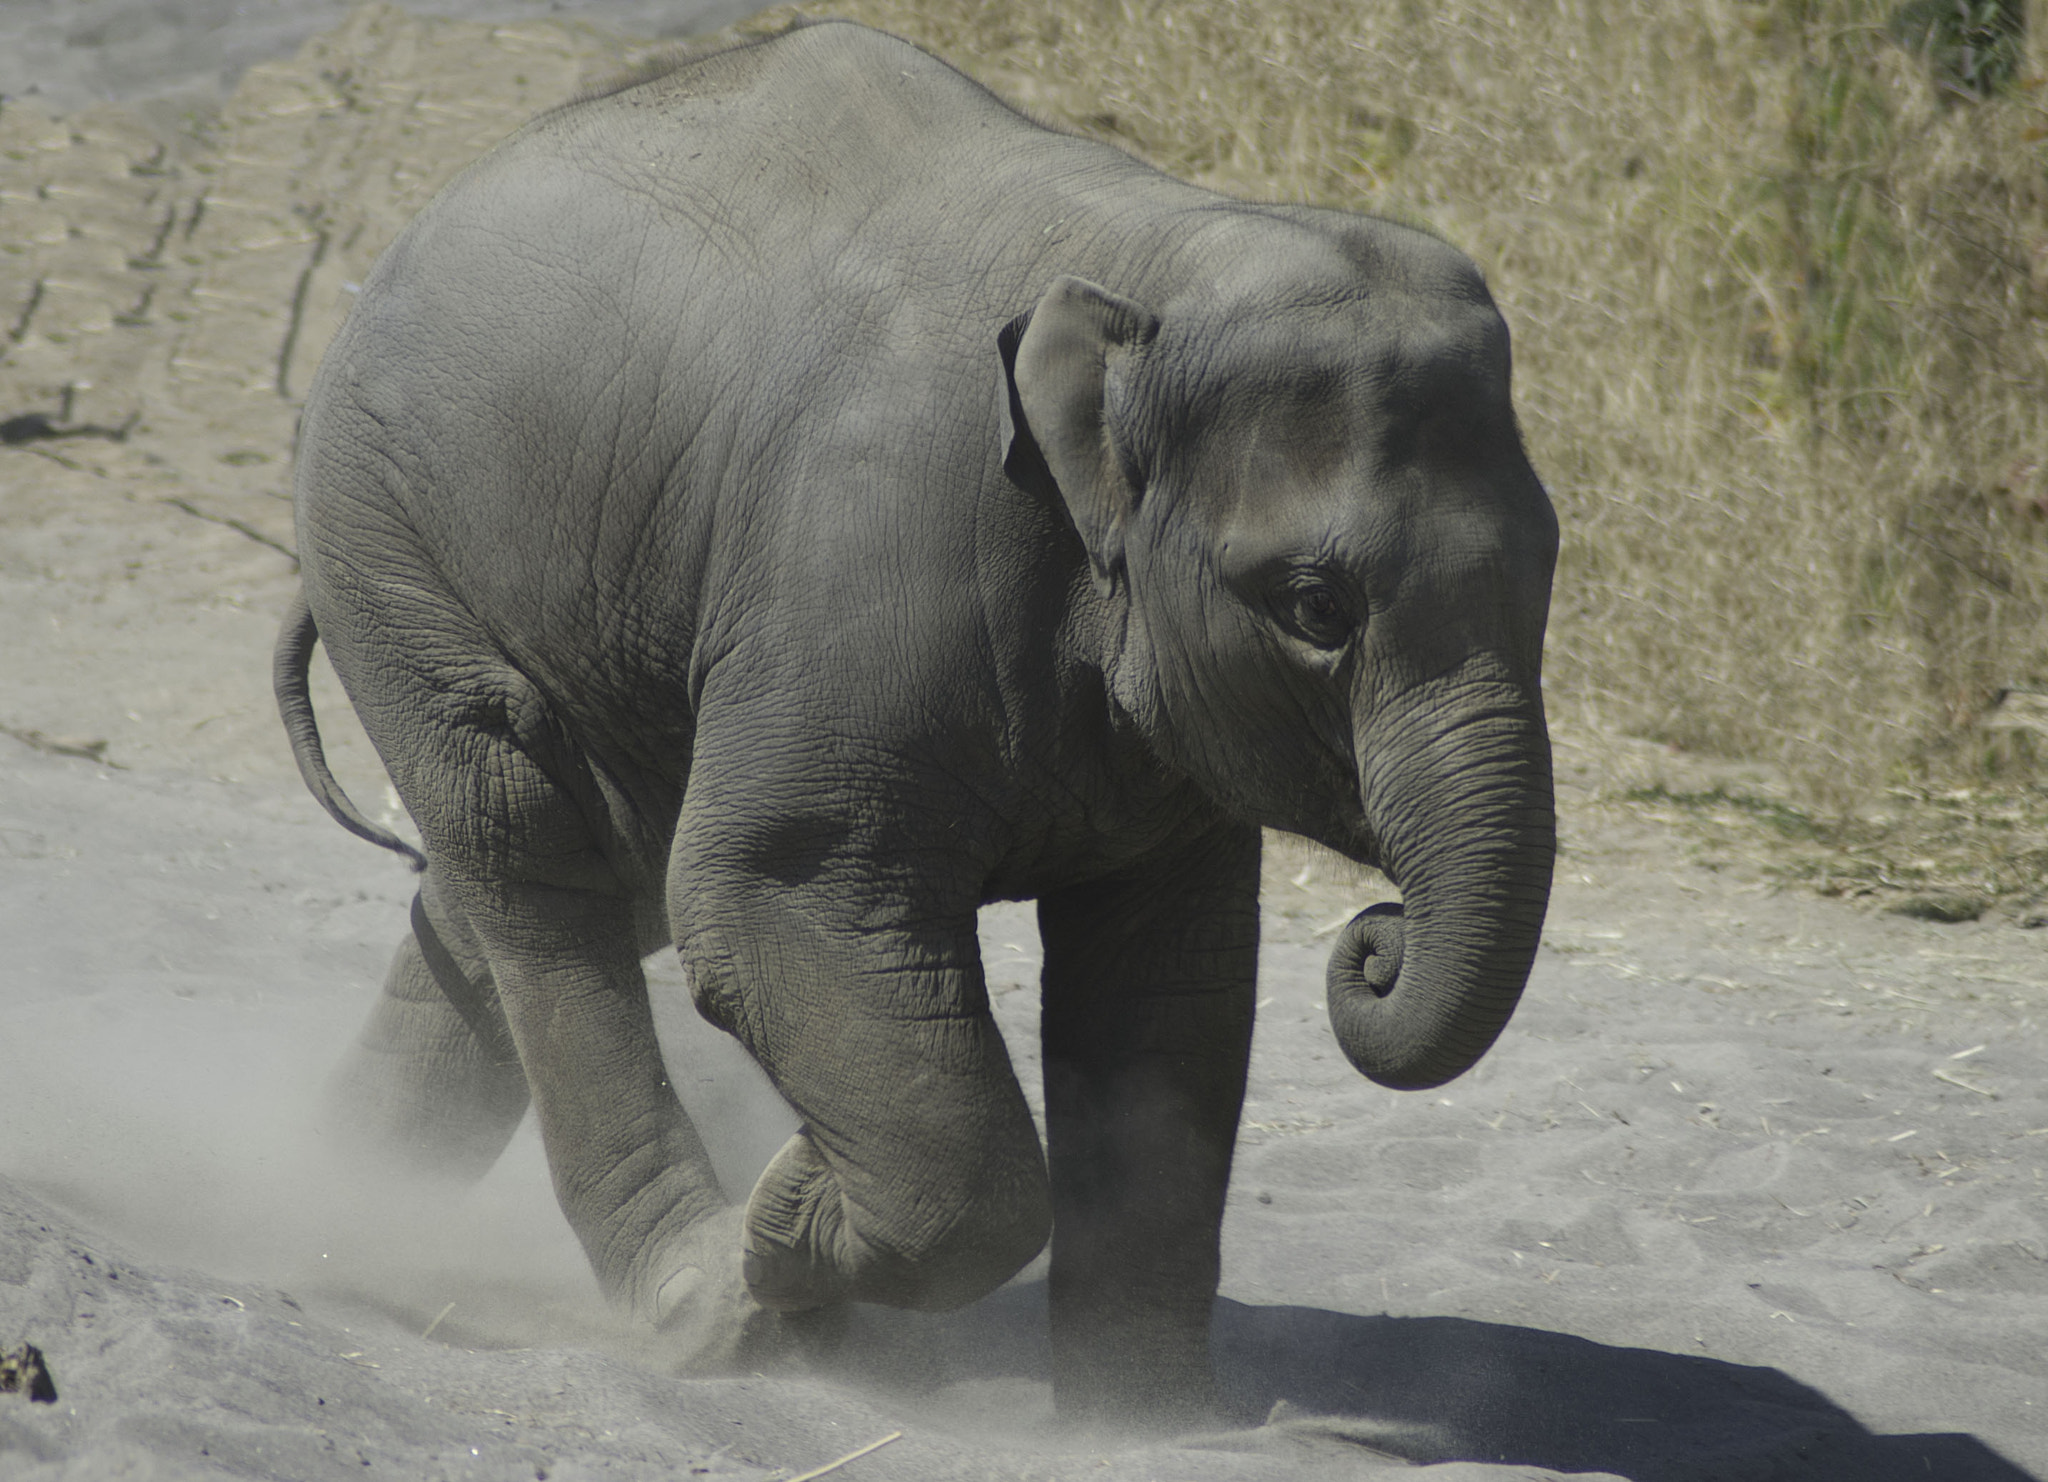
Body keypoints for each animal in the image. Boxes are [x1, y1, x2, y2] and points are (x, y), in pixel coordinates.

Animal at [268, 14, 1548, 1424]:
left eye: (1551, 567)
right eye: (1315, 604)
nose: (1373, 941)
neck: (1149, 266)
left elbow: (1168, 984)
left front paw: (1141, 1422)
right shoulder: (866, 563)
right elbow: (769, 892)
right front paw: (787, 1218)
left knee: (569, 875)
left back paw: (323, 1204)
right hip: (390, 539)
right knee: (527, 835)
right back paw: (698, 1301)